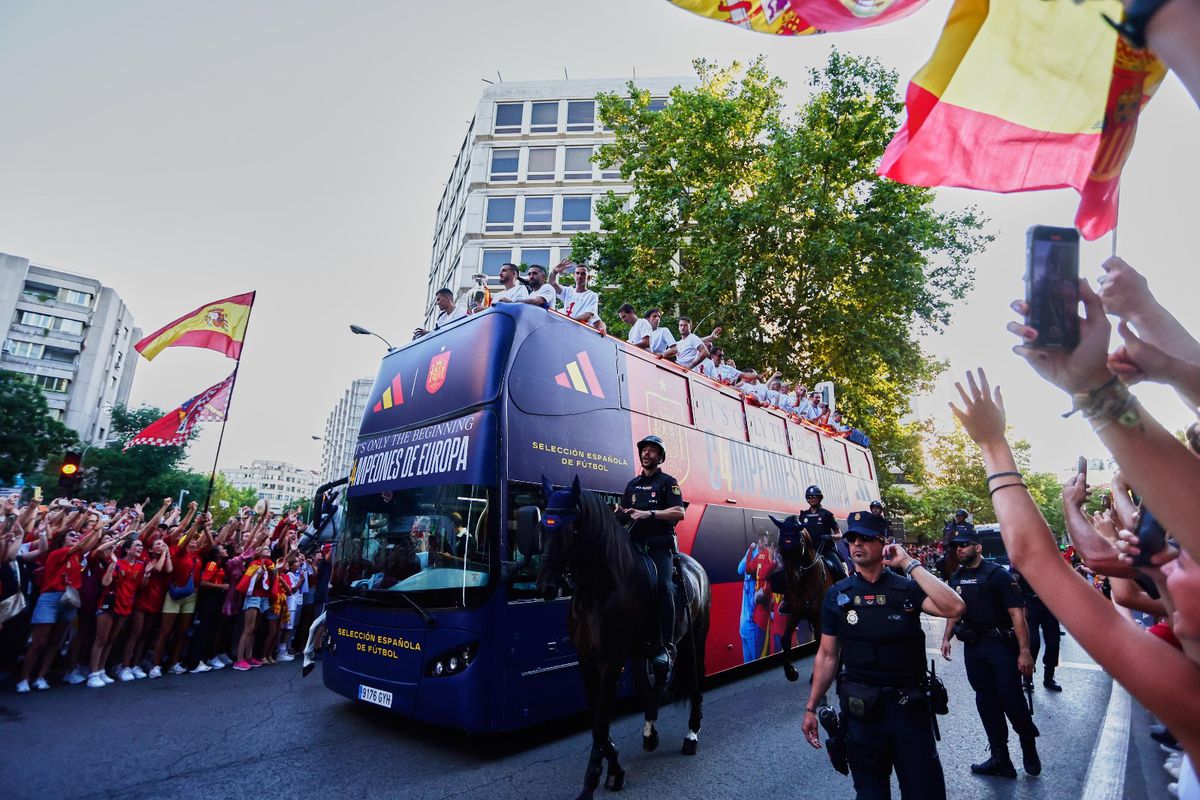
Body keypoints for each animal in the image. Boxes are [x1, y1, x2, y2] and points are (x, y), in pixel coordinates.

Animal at [535, 479, 710, 796]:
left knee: (695, 680)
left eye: (569, 528)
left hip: (697, 637)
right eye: (543, 526)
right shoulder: (586, 661)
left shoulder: (610, 661)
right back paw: (650, 732)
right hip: (651, 650)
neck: (599, 591)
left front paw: (592, 780)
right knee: (656, 678)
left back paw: (691, 735)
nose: (546, 587)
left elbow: (602, 720)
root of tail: (694, 566)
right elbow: (596, 719)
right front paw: (613, 769)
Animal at [768, 520, 835, 681]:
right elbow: (785, 640)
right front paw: (790, 671)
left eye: (799, 545)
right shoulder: (795, 613)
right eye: (780, 545)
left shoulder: (819, 615)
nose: (792, 578)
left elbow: (821, 641)